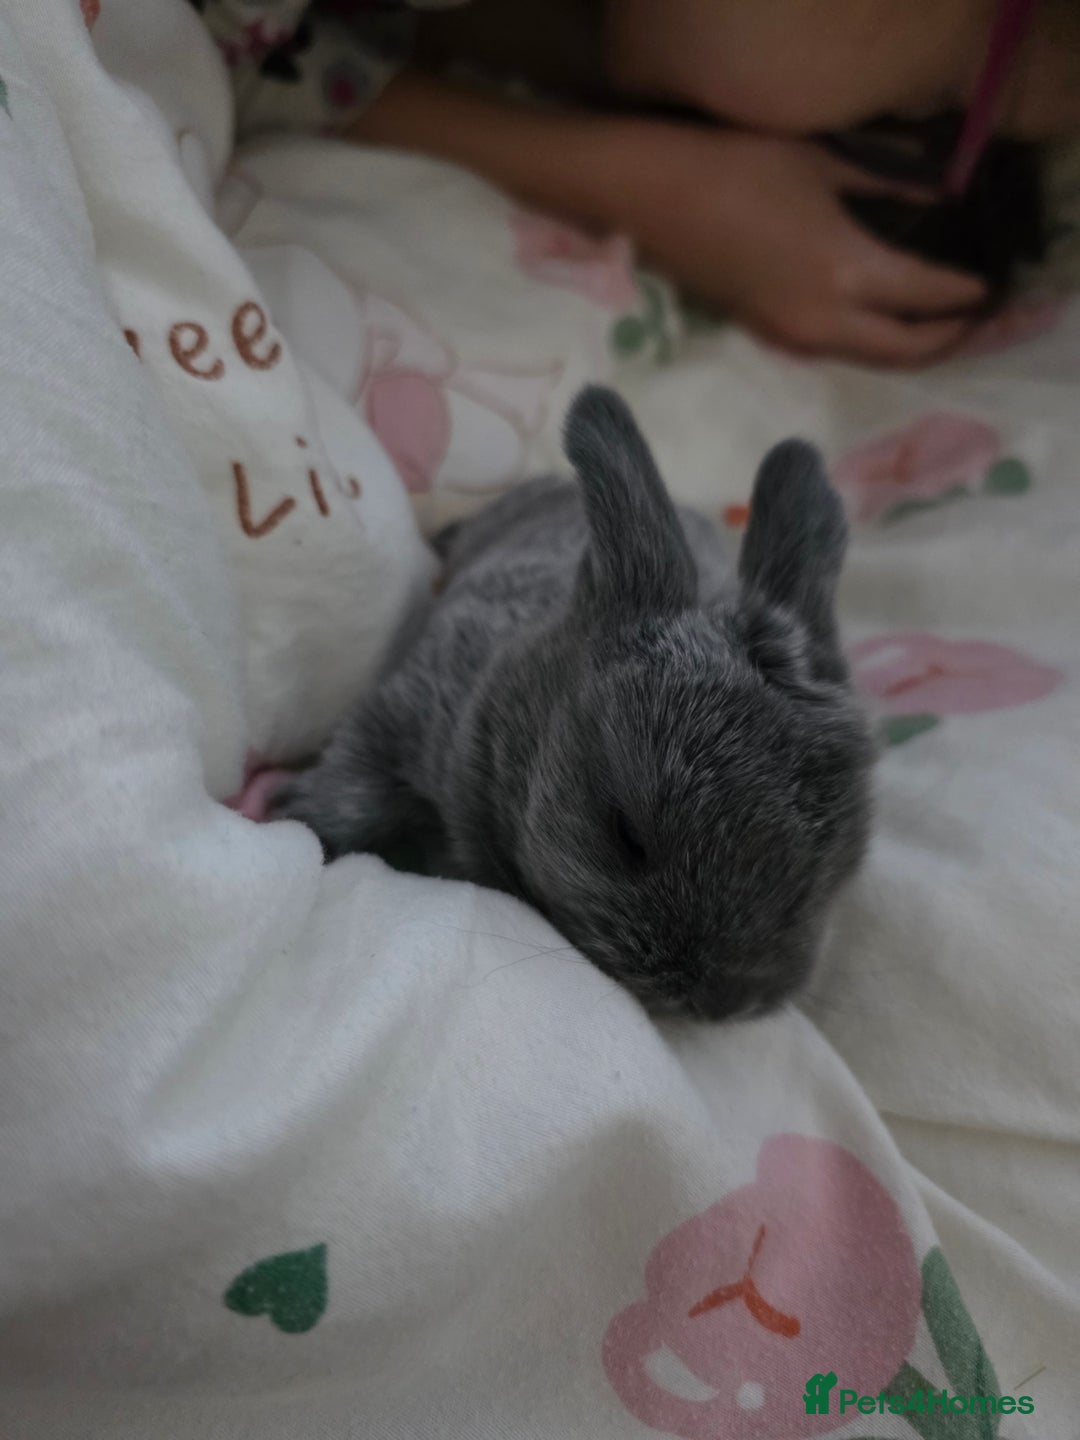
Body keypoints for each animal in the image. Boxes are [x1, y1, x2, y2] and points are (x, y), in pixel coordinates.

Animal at [270, 385, 874, 1020]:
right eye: (626, 835)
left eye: (816, 884)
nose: (722, 1000)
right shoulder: (404, 709)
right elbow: (351, 786)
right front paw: (297, 820)